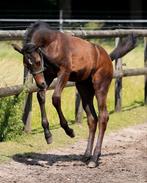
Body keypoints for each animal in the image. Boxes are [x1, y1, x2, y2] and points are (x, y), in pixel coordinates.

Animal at [12, 21, 136, 167]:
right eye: (26, 64)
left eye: (37, 61)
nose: (41, 84)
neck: (52, 44)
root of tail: (107, 57)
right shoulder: (48, 75)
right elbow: (41, 96)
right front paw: (48, 135)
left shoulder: (64, 72)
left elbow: (55, 98)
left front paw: (69, 130)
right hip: (84, 89)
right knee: (92, 119)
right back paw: (87, 155)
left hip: (100, 87)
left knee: (103, 117)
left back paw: (94, 158)